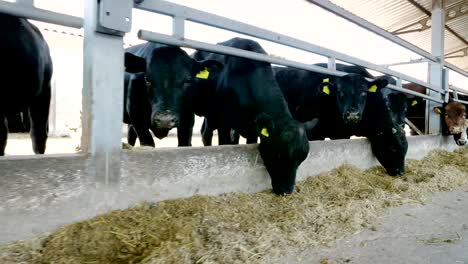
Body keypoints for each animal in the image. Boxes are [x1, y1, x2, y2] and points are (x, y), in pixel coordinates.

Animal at [192, 37, 308, 194]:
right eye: (279, 154)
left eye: (301, 160)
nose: (287, 190)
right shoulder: (224, 122)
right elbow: (224, 142)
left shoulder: (253, 128)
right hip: (210, 113)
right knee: (206, 133)